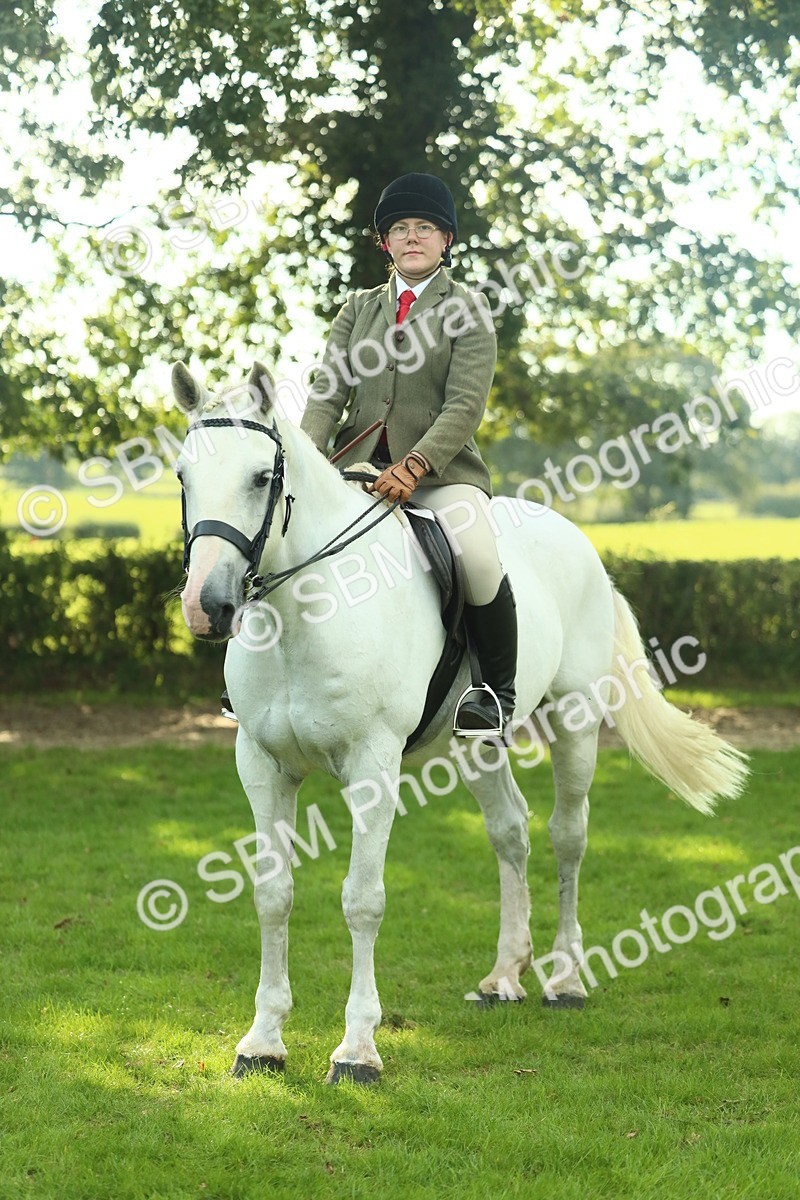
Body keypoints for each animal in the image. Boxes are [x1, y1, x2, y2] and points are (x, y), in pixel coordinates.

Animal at [171, 359, 748, 1085]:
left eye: (259, 477)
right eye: (184, 477)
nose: (208, 608)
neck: (306, 612)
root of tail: (579, 543)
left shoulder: (373, 766)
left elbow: (362, 899)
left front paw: (357, 1050)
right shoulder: (262, 764)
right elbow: (273, 894)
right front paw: (262, 1042)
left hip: (576, 723)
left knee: (568, 835)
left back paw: (565, 979)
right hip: (474, 747)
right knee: (511, 832)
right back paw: (504, 977)